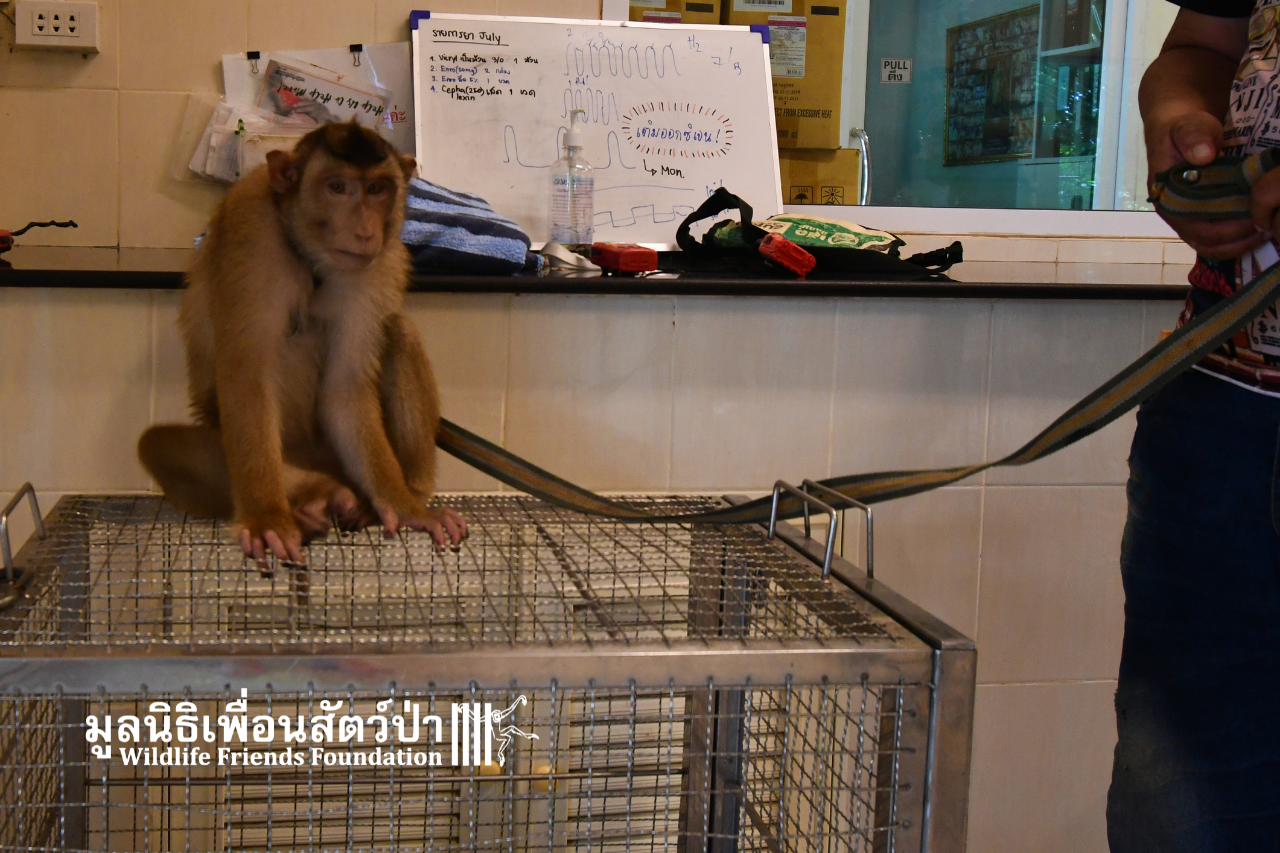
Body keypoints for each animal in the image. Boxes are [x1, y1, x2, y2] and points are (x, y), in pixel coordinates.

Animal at [138, 121, 467, 565]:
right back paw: (313, 497)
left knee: (398, 331)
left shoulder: (380, 264)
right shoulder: (250, 231)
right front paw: (267, 517)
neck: (310, 259)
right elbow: (247, 378)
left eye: (377, 189)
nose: (365, 231)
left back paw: (398, 493)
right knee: (157, 446)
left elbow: (345, 390)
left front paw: (404, 505)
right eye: (337, 187)